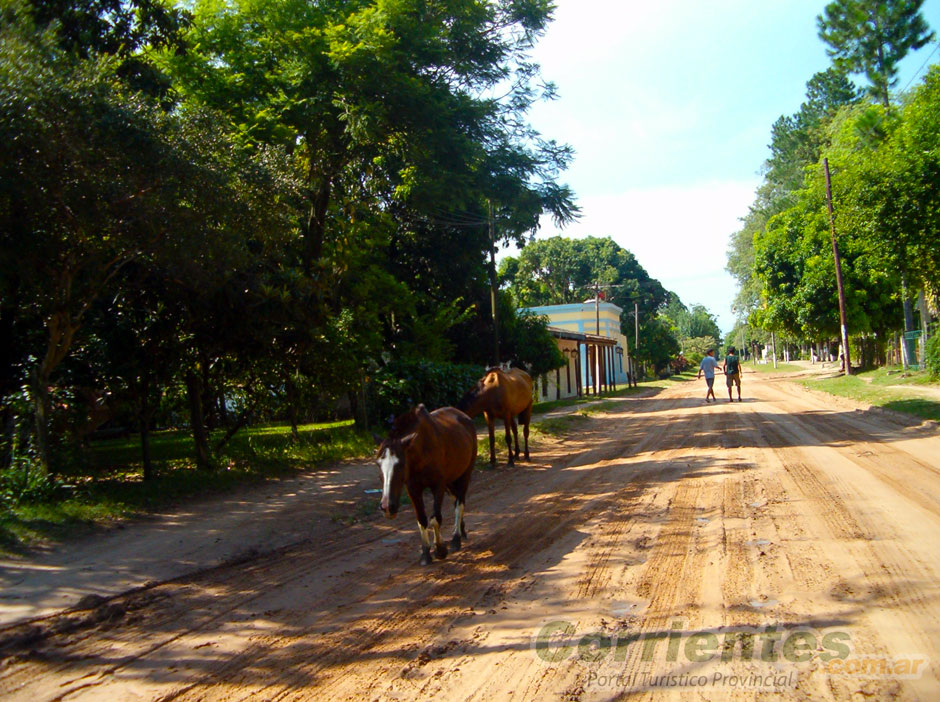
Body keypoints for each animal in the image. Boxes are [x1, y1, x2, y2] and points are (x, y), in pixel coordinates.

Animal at [374, 408, 478, 568]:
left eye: (401, 464)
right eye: (378, 464)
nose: (387, 507)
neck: (421, 452)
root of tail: (464, 416)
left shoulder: (438, 485)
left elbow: (435, 518)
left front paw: (440, 549)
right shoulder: (413, 488)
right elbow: (421, 519)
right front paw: (425, 553)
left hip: (465, 473)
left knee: (460, 503)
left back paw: (456, 538)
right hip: (450, 480)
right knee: (455, 500)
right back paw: (461, 528)